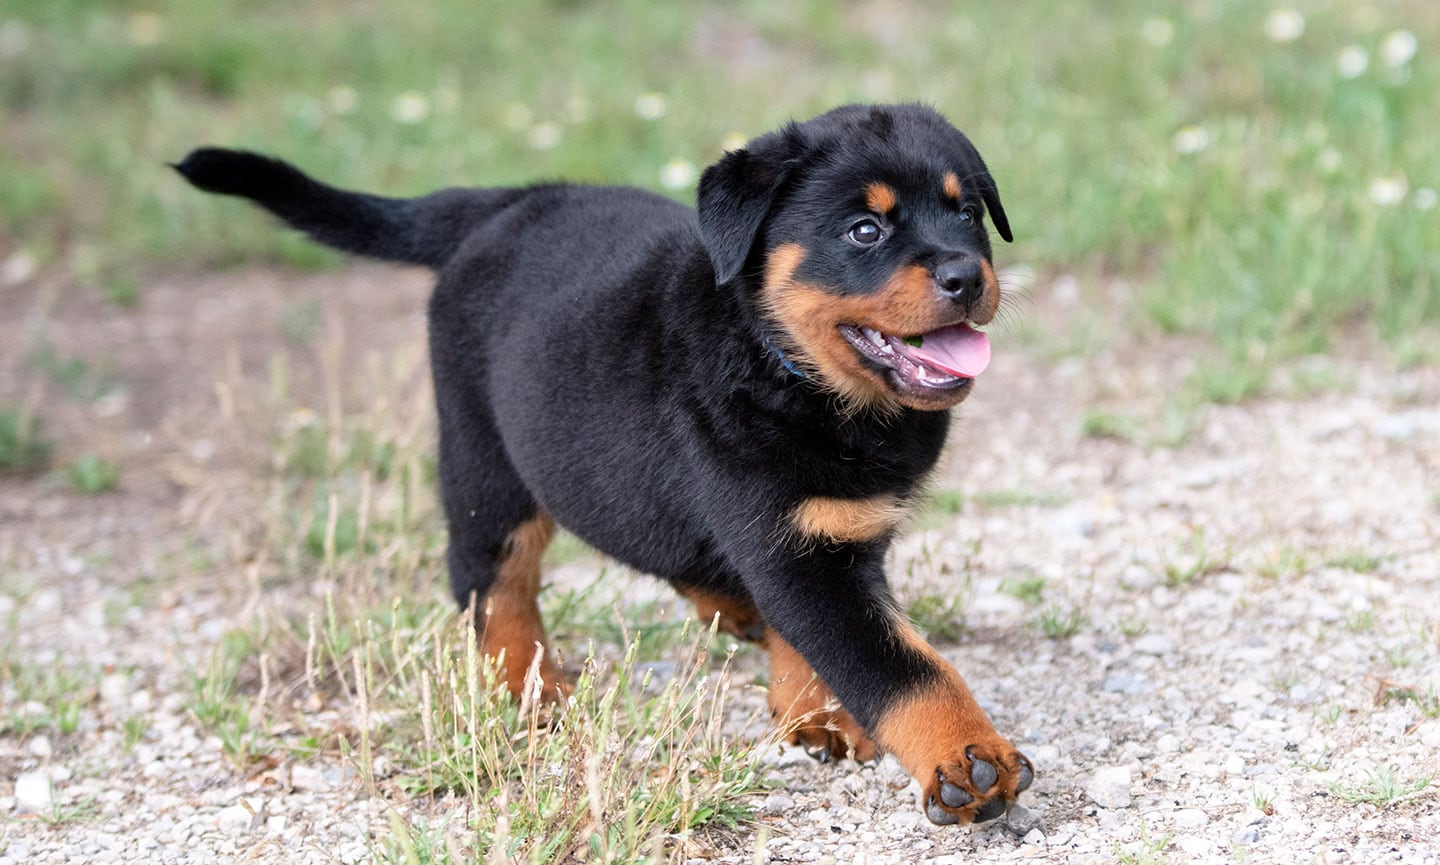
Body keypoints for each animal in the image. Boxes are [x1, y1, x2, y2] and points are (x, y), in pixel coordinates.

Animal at [177, 102, 1036, 823]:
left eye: (967, 212)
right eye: (865, 230)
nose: (967, 275)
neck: (788, 368)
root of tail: (505, 202)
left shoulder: (832, 535)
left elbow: (827, 639)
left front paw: (813, 713)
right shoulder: (792, 543)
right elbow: (901, 667)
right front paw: (966, 757)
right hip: (487, 458)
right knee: (492, 579)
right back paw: (529, 687)